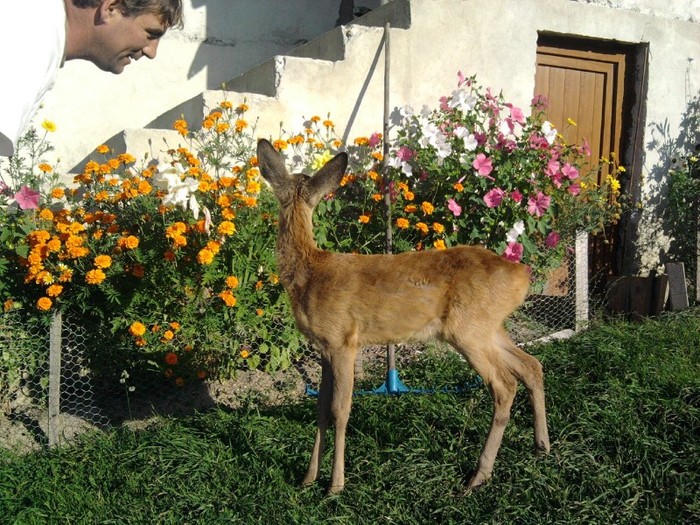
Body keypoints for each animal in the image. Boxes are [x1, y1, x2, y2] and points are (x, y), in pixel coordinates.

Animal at [254, 138, 548, 492]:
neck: (310, 273)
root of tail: (521, 276)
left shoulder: (343, 340)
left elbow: (340, 410)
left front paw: (335, 486)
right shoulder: (324, 347)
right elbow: (321, 408)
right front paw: (308, 478)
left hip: (468, 331)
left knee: (504, 385)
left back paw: (479, 474)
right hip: (489, 327)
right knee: (531, 366)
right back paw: (541, 447)